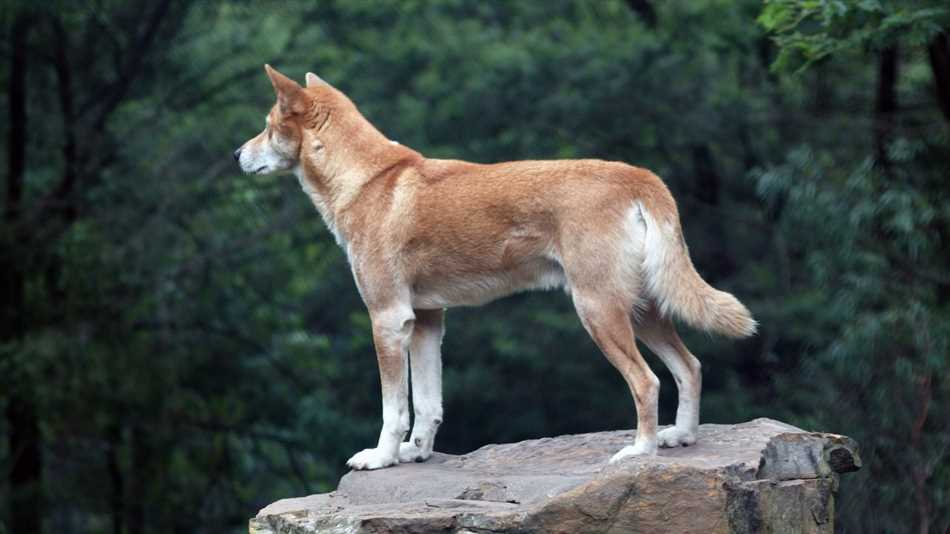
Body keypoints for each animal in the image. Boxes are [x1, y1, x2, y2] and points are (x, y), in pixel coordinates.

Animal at [236, 65, 760, 472]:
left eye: (265, 125)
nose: (236, 154)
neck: (367, 181)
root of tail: (638, 176)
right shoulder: (426, 321)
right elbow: (428, 403)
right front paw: (416, 454)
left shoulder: (387, 319)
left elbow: (394, 408)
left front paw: (381, 458)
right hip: (643, 309)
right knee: (690, 367)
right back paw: (681, 437)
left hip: (599, 311)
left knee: (647, 381)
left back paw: (640, 452)